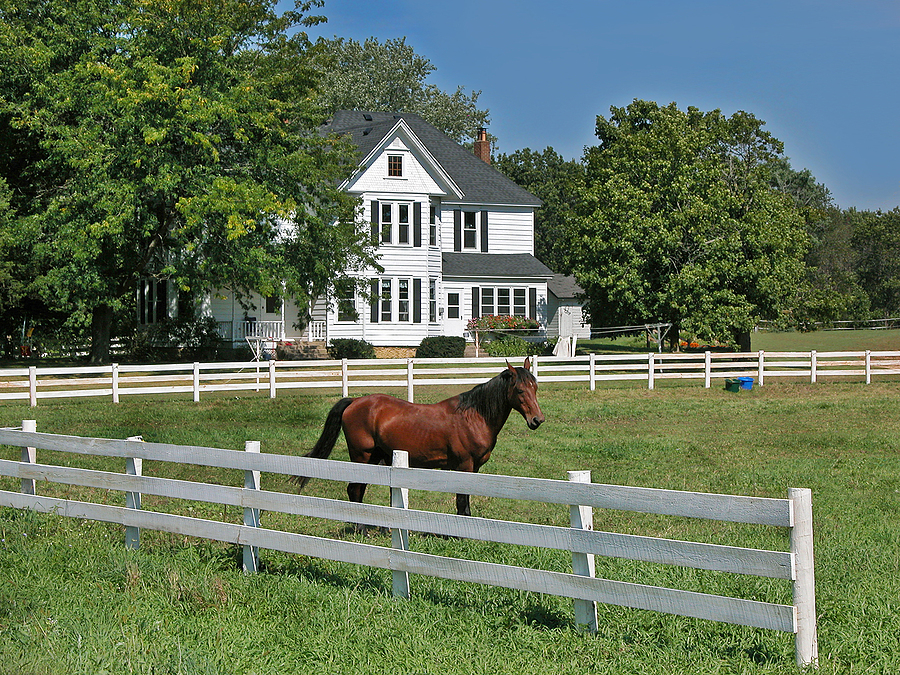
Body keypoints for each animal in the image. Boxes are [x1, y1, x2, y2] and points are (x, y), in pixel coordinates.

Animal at [294, 358, 544, 519]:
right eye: (520, 390)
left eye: (535, 387)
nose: (537, 420)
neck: (473, 416)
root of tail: (355, 401)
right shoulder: (464, 466)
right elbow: (462, 502)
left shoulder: (474, 469)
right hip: (361, 457)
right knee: (355, 489)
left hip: (373, 458)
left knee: (358, 490)